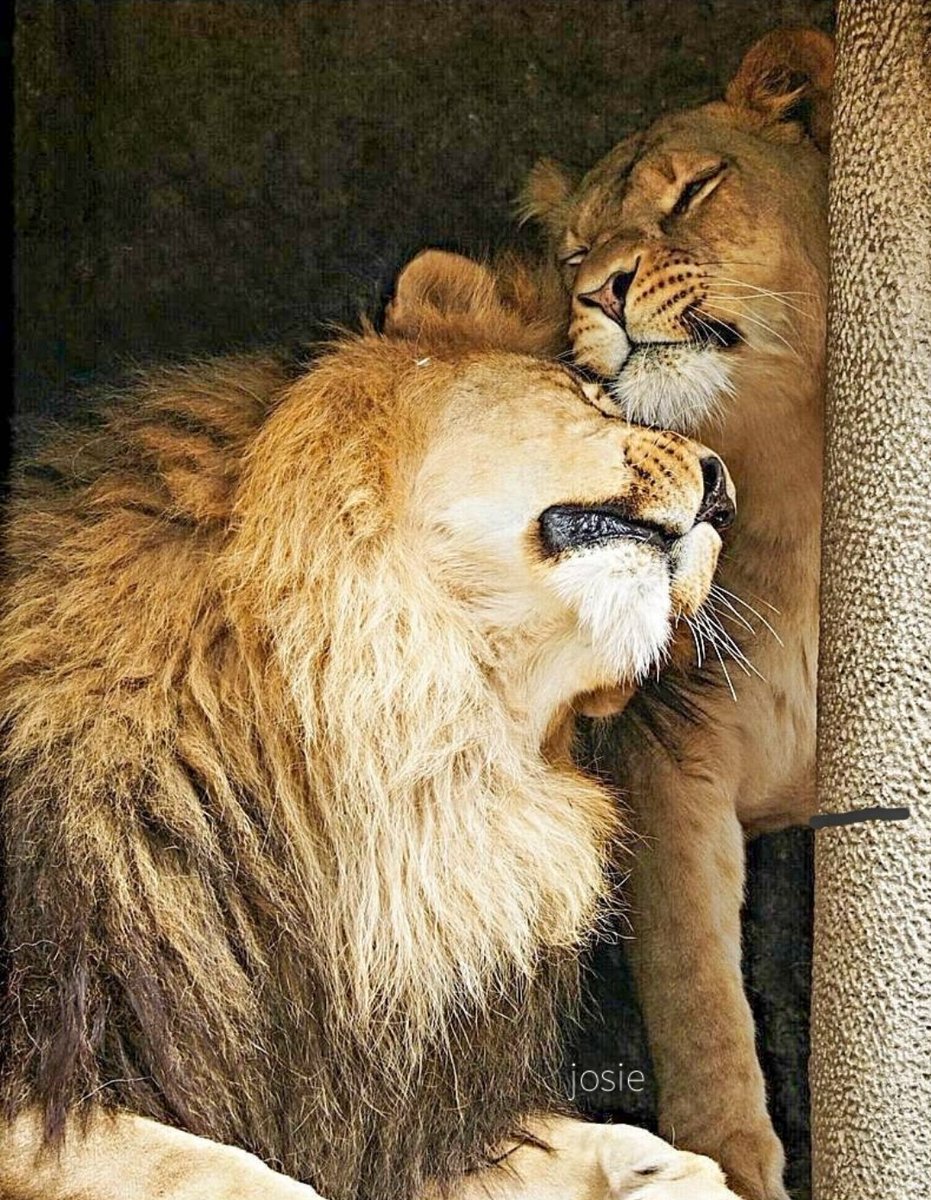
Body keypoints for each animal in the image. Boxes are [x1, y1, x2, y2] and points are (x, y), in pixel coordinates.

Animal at [510, 26, 833, 1200]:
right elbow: (699, 996)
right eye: (570, 254)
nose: (601, 292)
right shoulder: (667, 752)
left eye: (693, 190)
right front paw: (728, 1163)